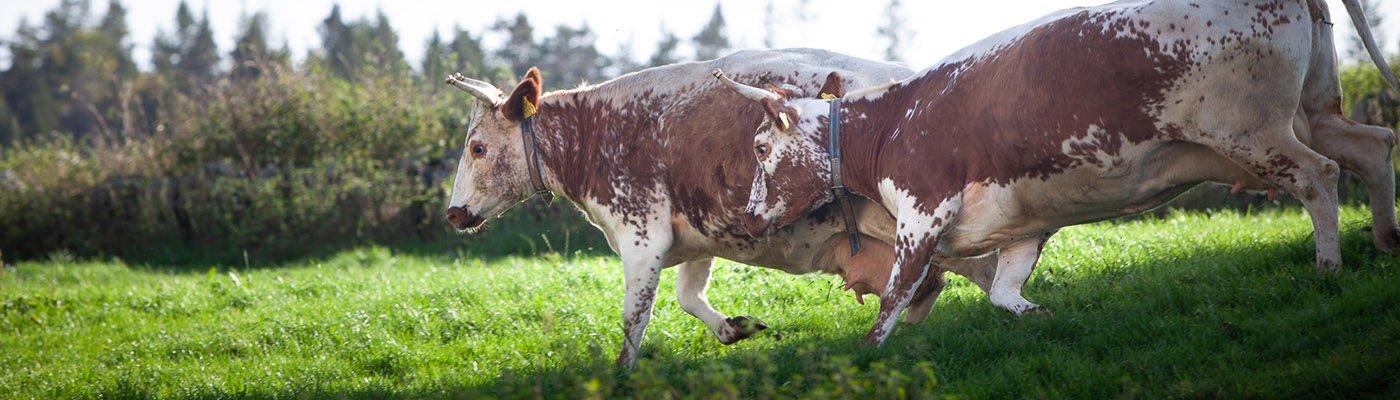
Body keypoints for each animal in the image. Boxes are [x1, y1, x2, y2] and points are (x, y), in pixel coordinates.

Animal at [439, 49, 1008, 366]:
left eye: (477, 148)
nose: (453, 214)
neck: (597, 131)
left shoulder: (641, 236)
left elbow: (634, 318)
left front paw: (622, 374)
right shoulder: (696, 237)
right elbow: (688, 296)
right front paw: (737, 328)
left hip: (926, 224)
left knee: (978, 272)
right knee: (943, 282)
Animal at [722, 0, 1400, 346]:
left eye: (759, 146)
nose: (748, 215)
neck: (890, 124)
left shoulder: (922, 213)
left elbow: (894, 299)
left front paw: (869, 360)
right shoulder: (1023, 227)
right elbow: (1003, 292)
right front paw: (1044, 317)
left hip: (1252, 128)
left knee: (1317, 177)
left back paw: (1329, 268)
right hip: (1314, 111)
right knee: (1372, 145)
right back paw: (1386, 240)